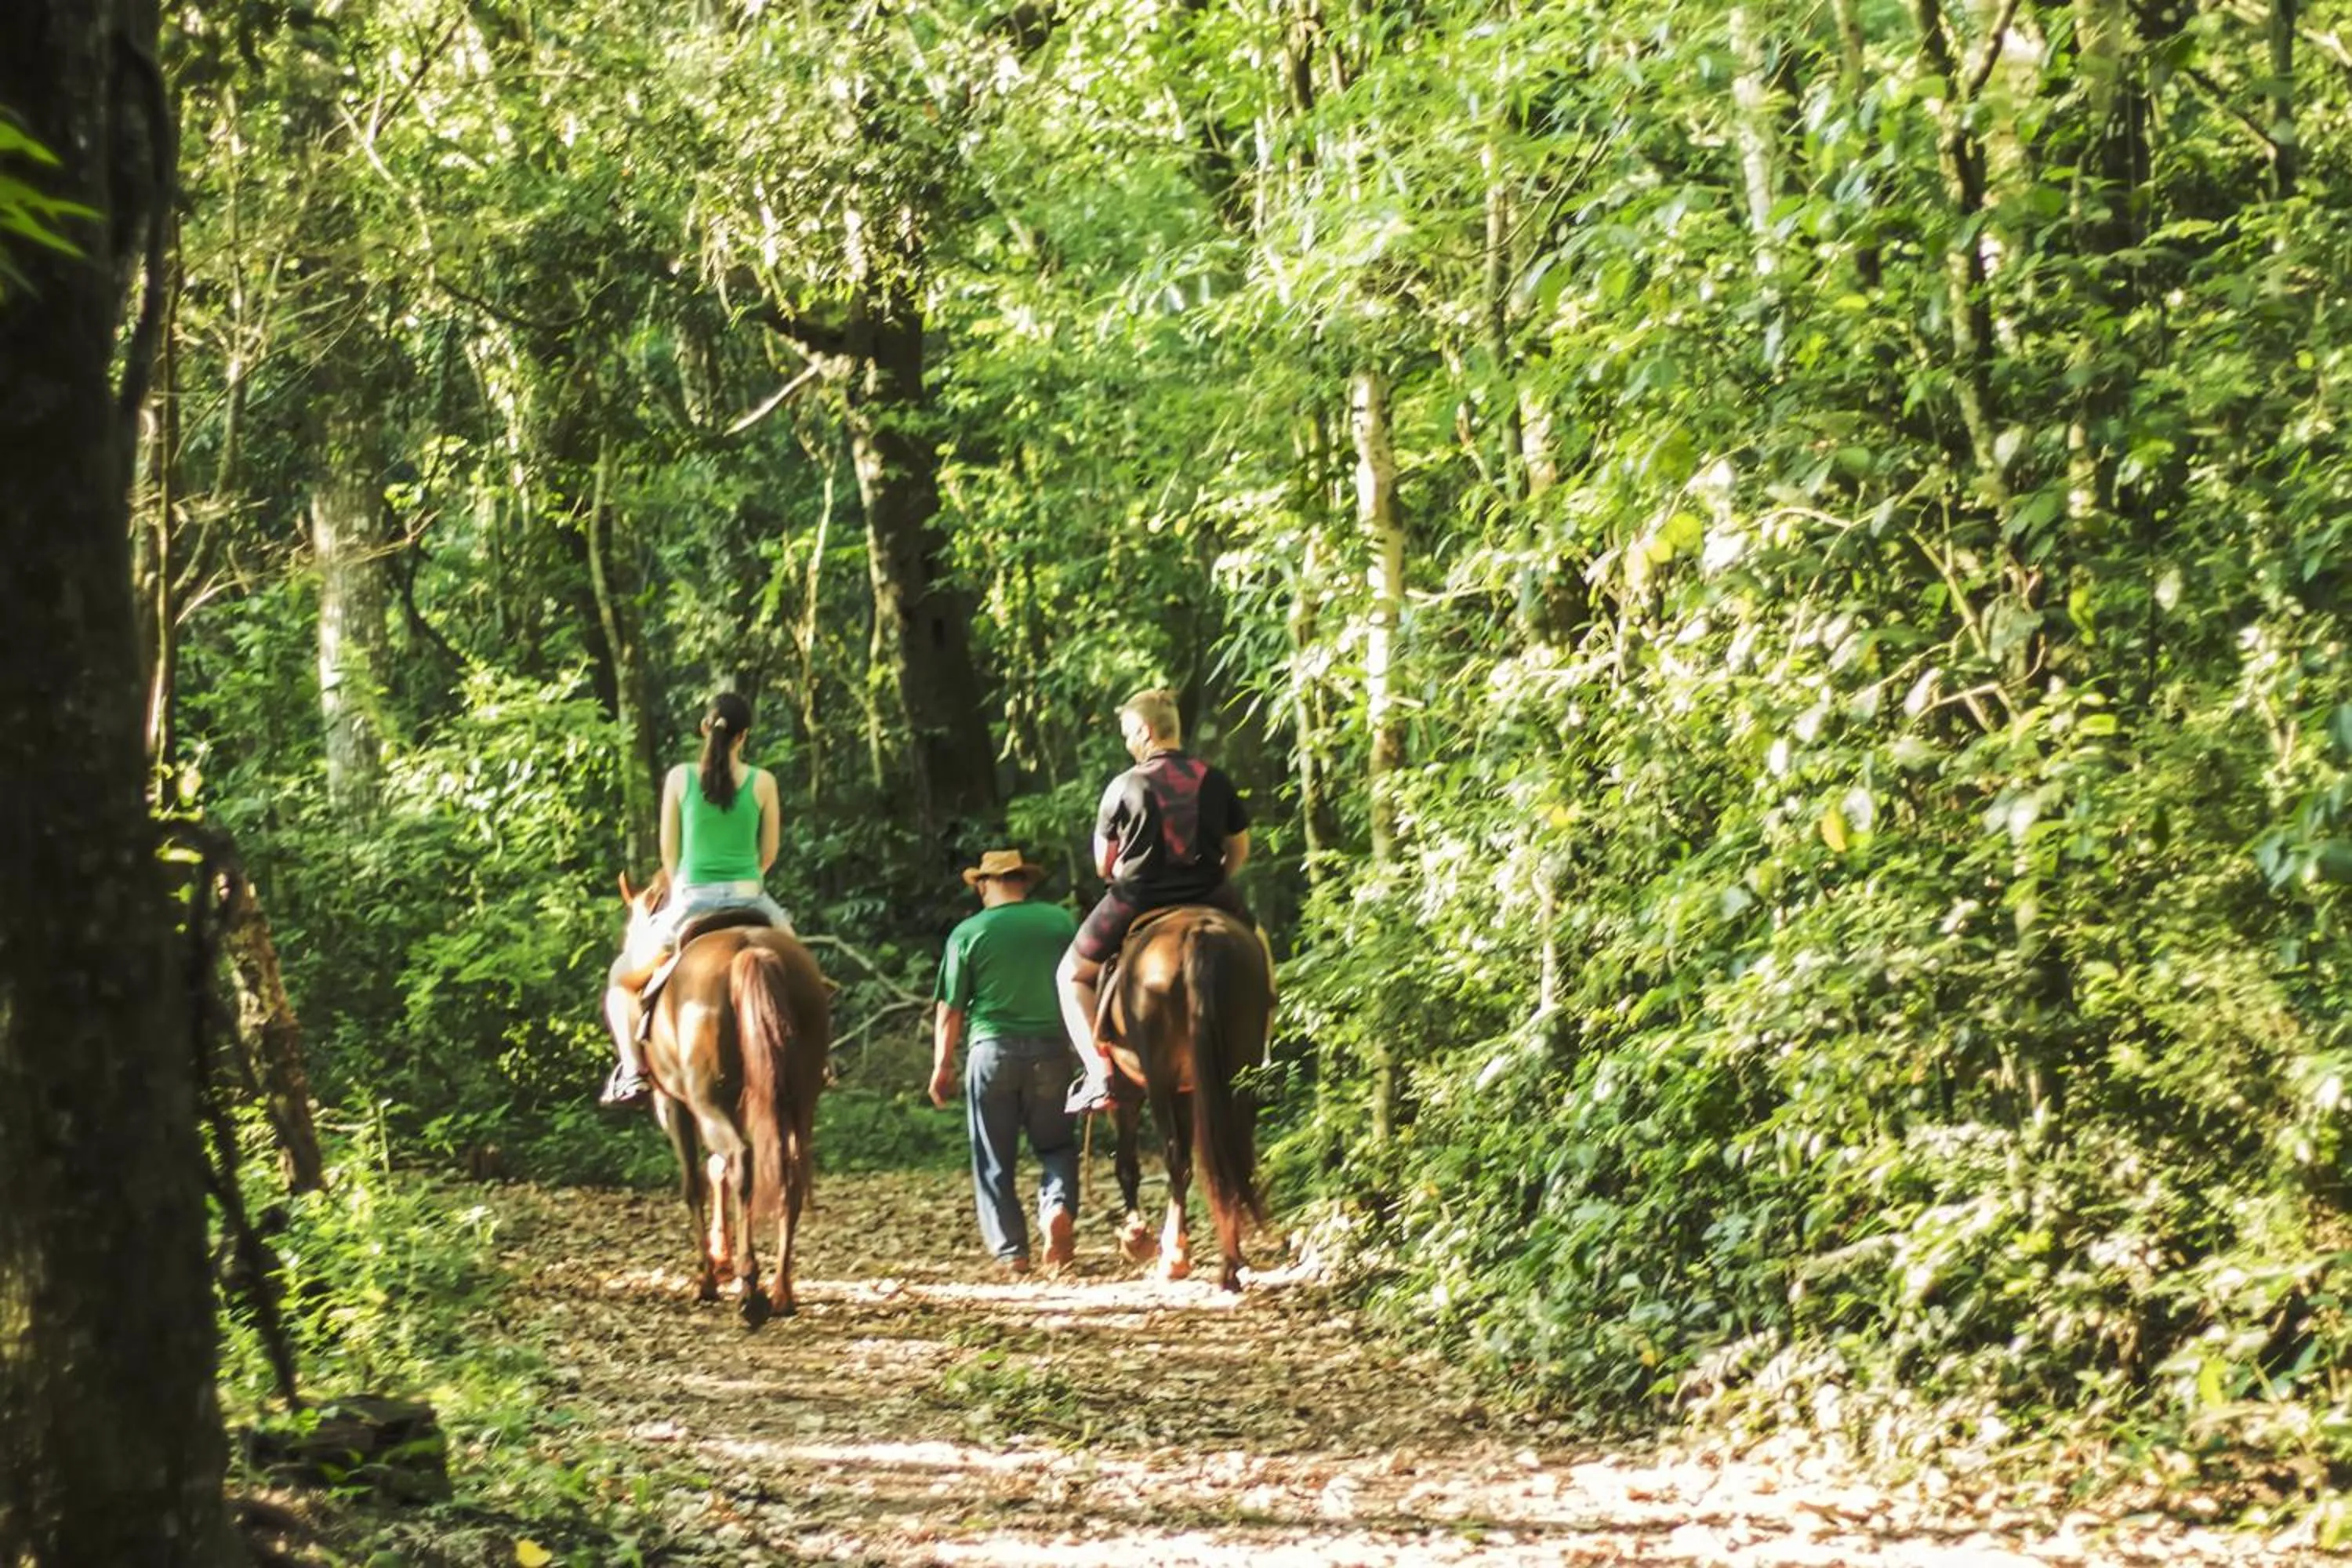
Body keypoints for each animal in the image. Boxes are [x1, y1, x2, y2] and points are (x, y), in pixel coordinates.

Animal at [610, 875, 830, 1327]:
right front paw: (721, 1254)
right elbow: (717, 1170)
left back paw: (751, 1291)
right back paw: (782, 1291)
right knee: (788, 1173)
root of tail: (750, 949)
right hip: (798, 1102)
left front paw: (708, 1278)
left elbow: (694, 1181)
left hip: (707, 1100)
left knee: (742, 1160)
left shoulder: (674, 1106)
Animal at [1096, 906, 1272, 1292]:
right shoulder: (1190, 1091)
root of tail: (1197, 934)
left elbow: (1127, 1164)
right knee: (1233, 1153)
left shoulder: (1129, 1093)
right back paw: (1231, 1264)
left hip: (1159, 1078)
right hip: (1239, 1067)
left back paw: (1174, 1258)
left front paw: (1135, 1236)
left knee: (1176, 1157)